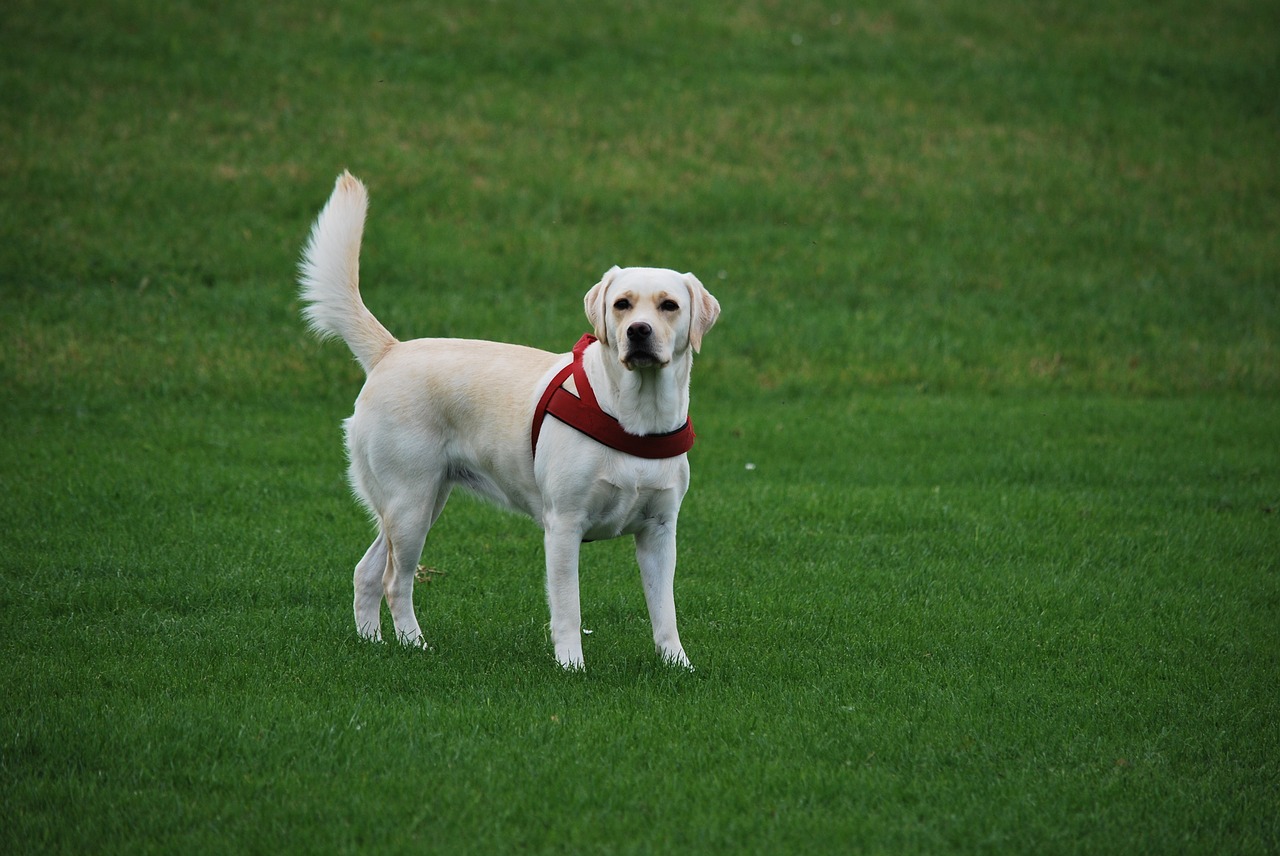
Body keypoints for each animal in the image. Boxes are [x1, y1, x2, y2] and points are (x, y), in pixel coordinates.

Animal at [300, 171, 721, 665]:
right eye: (622, 304)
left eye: (669, 306)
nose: (638, 331)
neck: (636, 416)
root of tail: (391, 350)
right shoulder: (564, 526)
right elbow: (569, 608)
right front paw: (571, 665)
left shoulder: (659, 531)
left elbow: (664, 611)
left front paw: (677, 665)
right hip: (410, 504)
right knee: (393, 581)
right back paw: (415, 645)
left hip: (417, 502)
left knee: (366, 571)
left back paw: (373, 642)